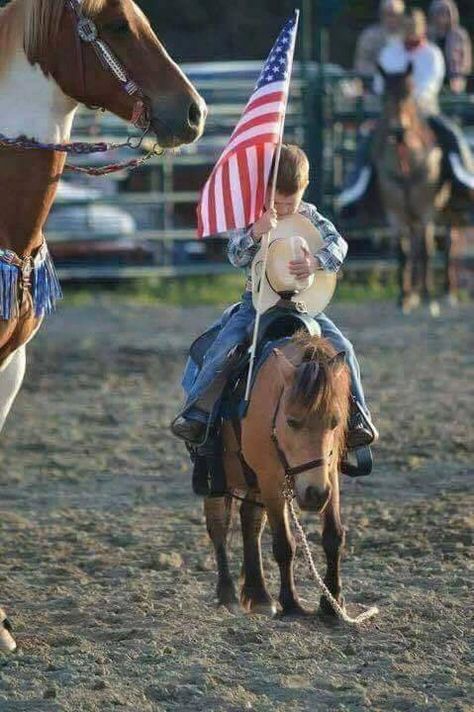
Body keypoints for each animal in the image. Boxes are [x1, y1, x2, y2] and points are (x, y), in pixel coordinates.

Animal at [206, 334, 350, 616]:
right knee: (218, 525)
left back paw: (259, 594)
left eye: (334, 421)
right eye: (292, 421)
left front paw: (332, 602)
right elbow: (284, 544)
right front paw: (291, 603)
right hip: (214, 477)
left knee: (250, 522)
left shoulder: (329, 473)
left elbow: (333, 536)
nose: (315, 494)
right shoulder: (271, 478)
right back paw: (228, 593)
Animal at [372, 64, 450, 314]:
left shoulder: (426, 212)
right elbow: (403, 252)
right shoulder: (395, 215)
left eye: (408, 93)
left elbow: (426, 250)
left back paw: (444, 291)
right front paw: (404, 296)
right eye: (384, 95)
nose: (398, 131)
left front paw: (427, 297)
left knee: (444, 245)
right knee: (413, 249)